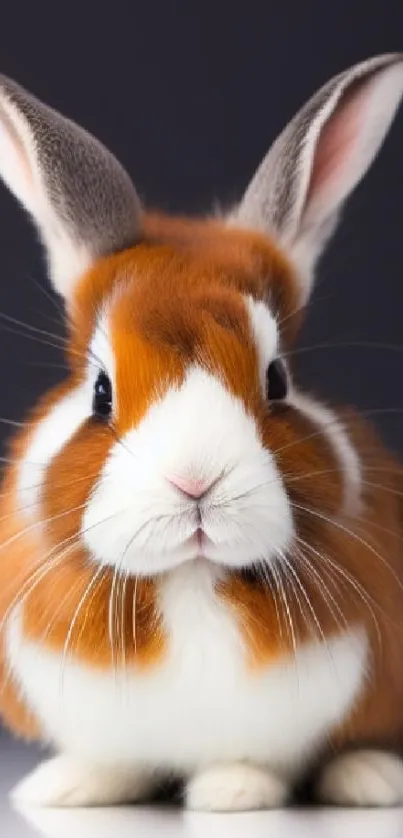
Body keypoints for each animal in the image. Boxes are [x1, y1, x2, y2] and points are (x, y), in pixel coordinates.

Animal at [0, 54, 403, 812]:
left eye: (276, 380)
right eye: (100, 392)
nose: (195, 482)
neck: (189, 581)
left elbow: (256, 763)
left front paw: (230, 793)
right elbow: (112, 762)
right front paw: (68, 788)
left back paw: (368, 779)